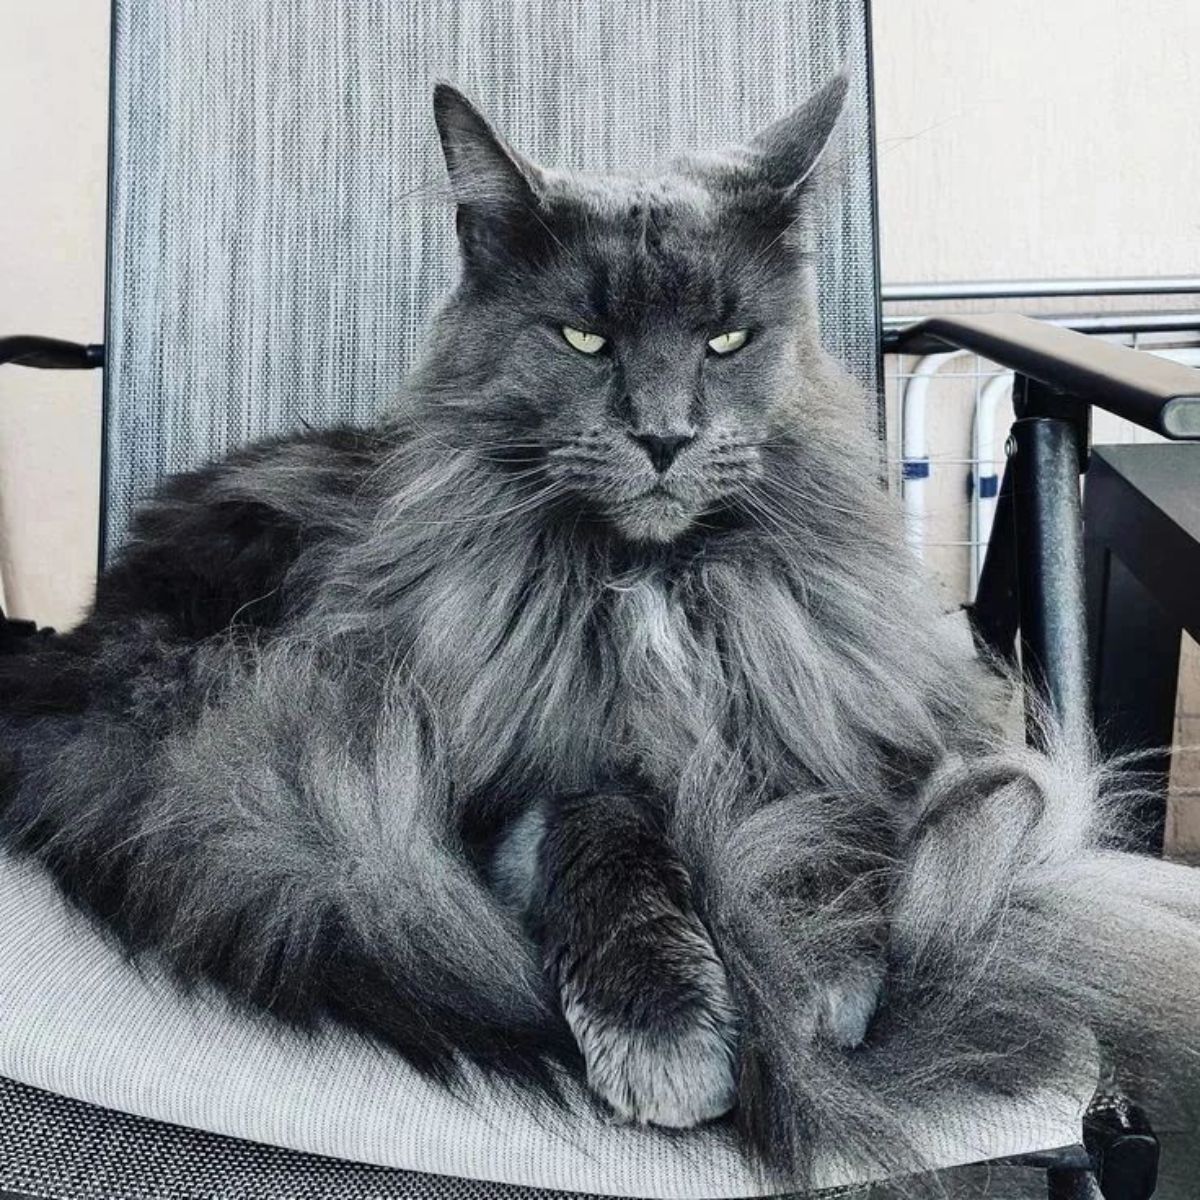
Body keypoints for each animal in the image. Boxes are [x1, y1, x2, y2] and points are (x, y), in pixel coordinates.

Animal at [2, 79, 1200, 1185]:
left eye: (726, 339)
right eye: (584, 337)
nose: (665, 437)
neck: (655, 589)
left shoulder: (839, 702)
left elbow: (834, 815)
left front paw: (809, 953)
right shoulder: (521, 768)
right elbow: (610, 847)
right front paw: (669, 1034)